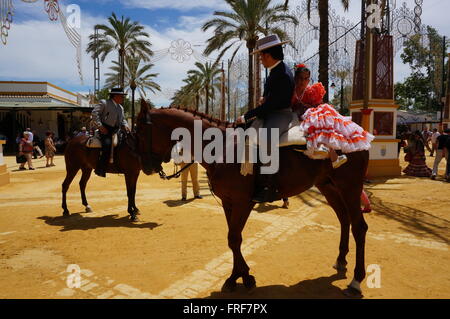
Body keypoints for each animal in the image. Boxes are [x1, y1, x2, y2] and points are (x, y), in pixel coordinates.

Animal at [140, 102, 370, 298]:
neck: (222, 148)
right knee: (344, 219)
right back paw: (341, 261)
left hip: (350, 187)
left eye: (138, 130)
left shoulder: (243, 202)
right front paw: (237, 277)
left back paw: (356, 281)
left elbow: (234, 238)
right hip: (329, 186)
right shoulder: (228, 202)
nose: (146, 167)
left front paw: (245, 278)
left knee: (359, 227)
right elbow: (233, 239)